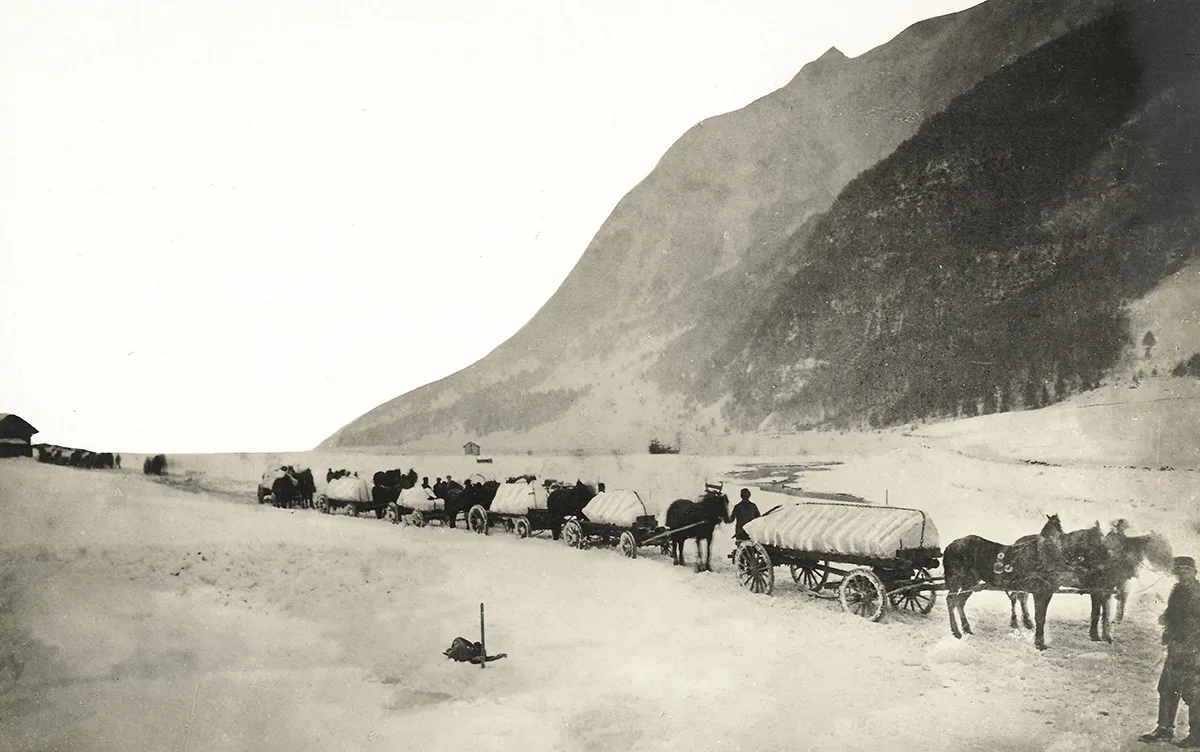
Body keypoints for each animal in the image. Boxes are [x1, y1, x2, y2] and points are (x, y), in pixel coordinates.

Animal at [945, 515, 1099, 652]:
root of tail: (950, 546)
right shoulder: (1041, 592)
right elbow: (1040, 617)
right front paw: (1039, 643)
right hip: (956, 579)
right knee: (951, 600)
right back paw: (956, 631)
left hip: (970, 582)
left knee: (960, 602)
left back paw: (966, 628)